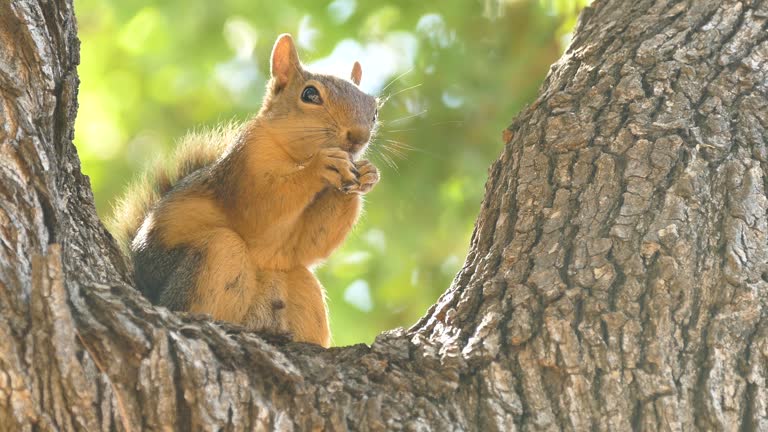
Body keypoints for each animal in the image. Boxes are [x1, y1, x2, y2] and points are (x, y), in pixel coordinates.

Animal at [109, 33, 380, 348]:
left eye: (374, 110)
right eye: (310, 95)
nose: (358, 137)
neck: (293, 157)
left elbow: (309, 245)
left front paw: (366, 174)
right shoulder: (241, 170)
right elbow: (260, 208)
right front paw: (320, 167)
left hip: (302, 287)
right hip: (207, 261)